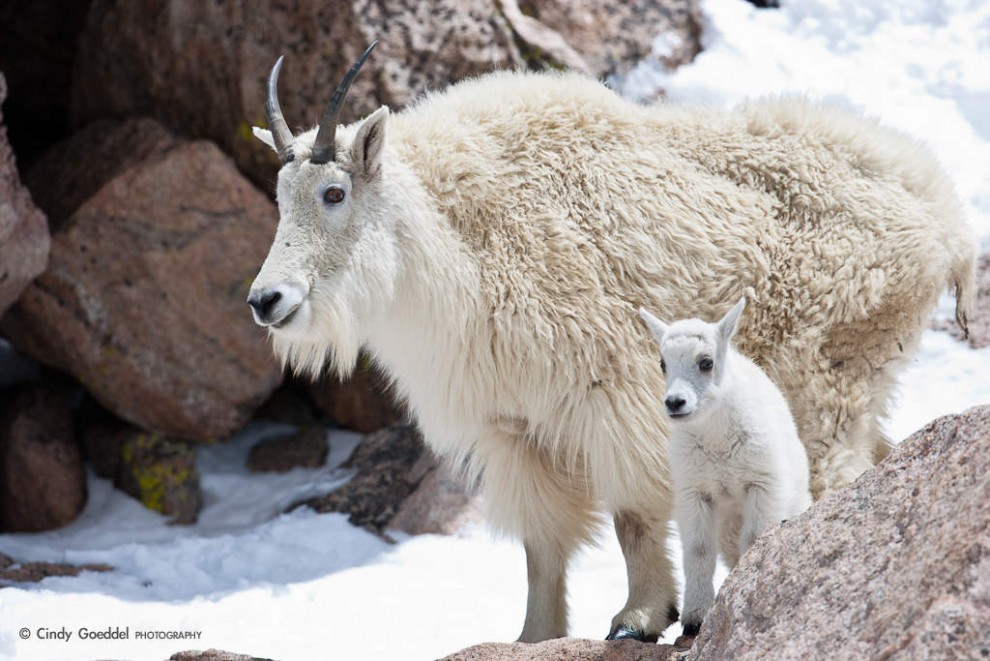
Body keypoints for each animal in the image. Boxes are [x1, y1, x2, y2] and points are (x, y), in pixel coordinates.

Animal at [248, 43, 976, 640]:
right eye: (281, 198)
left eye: (334, 191)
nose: (266, 301)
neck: (458, 242)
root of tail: (948, 219)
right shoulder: (513, 427)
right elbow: (541, 546)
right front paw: (534, 635)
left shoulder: (611, 392)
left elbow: (630, 514)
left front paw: (640, 616)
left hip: (833, 373)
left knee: (842, 471)